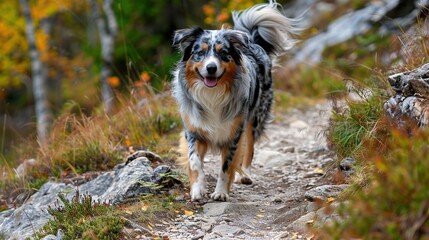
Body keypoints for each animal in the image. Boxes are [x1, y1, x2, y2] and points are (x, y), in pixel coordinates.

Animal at [171, 0, 298, 202]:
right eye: (200, 52)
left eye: (223, 53)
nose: (211, 68)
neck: (212, 94)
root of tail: (253, 41)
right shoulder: (194, 130)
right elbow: (194, 160)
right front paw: (198, 189)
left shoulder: (234, 133)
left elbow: (226, 165)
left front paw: (221, 192)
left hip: (254, 119)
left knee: (250, 149)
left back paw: (245, 175)